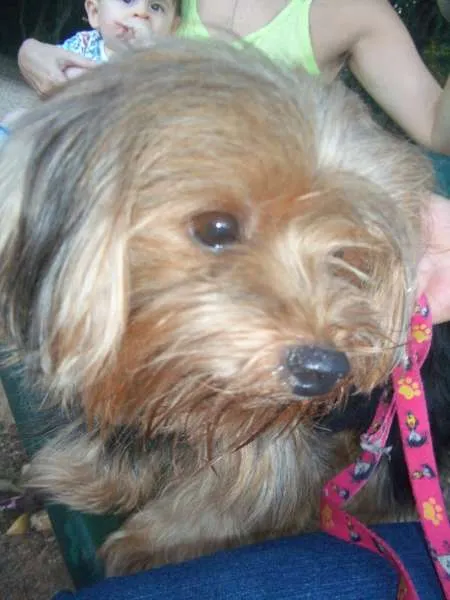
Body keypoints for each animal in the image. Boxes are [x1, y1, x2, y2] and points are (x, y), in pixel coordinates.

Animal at [0, 39, 449, 576]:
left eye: (346, 257)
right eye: (216, 228)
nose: (325, 370)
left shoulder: (283, 441)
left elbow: (232, 497)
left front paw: (148, 541)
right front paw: (79, 475)